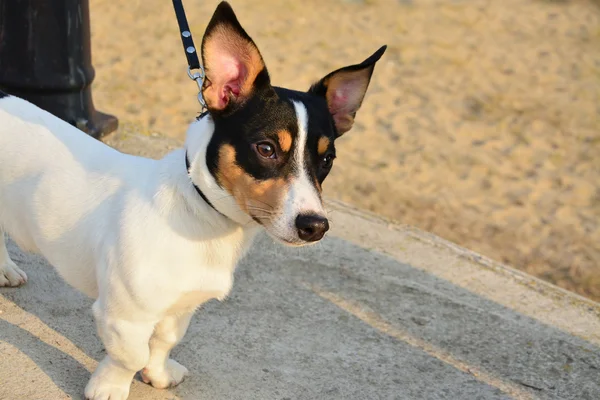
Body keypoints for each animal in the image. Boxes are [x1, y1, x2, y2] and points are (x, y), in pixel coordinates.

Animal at [0, 1, 384, 398]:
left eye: (327, 159)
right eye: (266, 149)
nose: (315, 226)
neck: (198, 212)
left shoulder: (180, 307)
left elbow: (164, 341)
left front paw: (158, 374)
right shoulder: (124, 316)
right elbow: (131, 355)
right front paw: (109, 386)